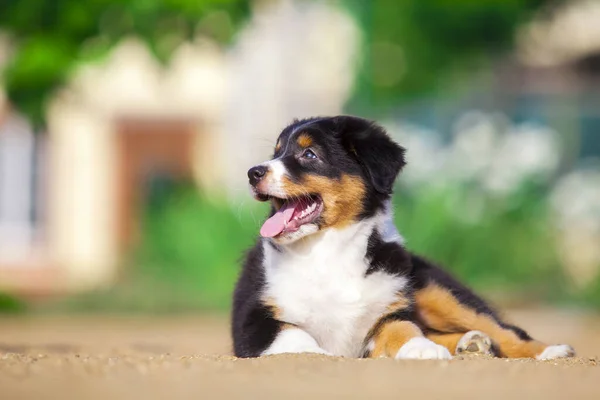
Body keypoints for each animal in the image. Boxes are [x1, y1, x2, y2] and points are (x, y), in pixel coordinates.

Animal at [231, 115, 576, 360]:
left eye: (309, 154)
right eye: (276, 152)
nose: (252, 173)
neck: (327, 250)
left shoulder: (388, 310)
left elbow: (405, 328)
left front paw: (420, 349)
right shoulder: (253, 319)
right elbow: (295, 335)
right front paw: (317, 354)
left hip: (434, 287)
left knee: (504, 329)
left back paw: (549, 351)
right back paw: (472, 343)